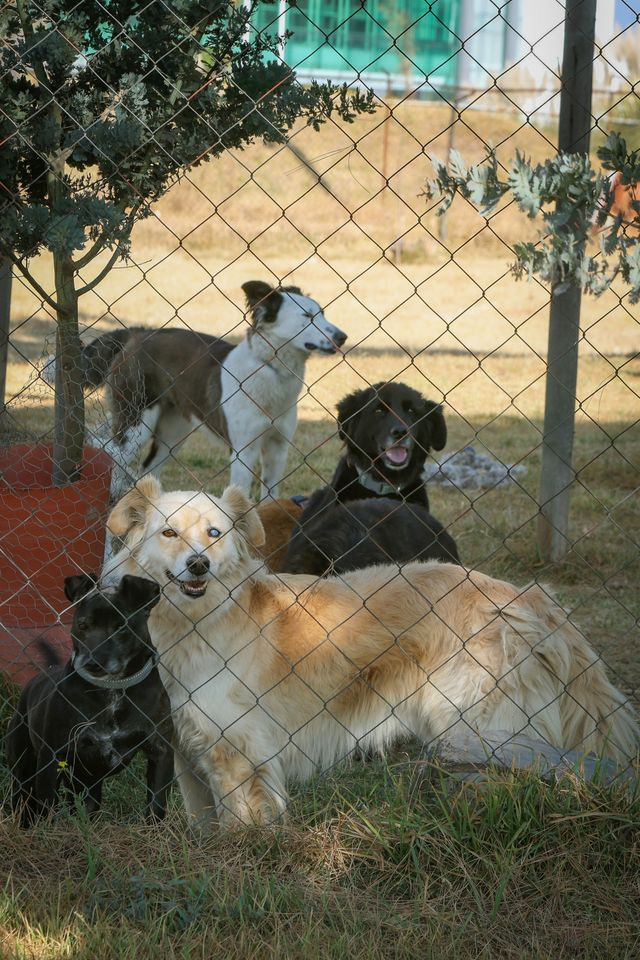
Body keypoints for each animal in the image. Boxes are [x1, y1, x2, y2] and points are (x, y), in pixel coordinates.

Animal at [6, 568, 175, 824]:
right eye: (83, 625)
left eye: (121, 627)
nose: (92, 662)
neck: (112, 688)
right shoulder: (52, 757)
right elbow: (46, 805)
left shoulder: (161, 751)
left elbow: (156, 804)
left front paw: (154, 829)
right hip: (24, 763)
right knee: (22, 797)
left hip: (87, 783)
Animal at [59, 282, 348, 498]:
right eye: (307, 317)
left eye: (322, 313)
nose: (343, 336)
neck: (272, 369)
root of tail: (137, 334)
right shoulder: (243, 452)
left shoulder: (278, 449)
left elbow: (269, 500)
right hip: (136, 422)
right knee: (112, 458)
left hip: (173, 433)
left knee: (146, 470)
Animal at [102, 480, 636, 832]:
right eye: (169, 534)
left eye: (215, 534)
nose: (199, 565)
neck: (198, 619)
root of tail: (526, 598)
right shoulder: (188, 754)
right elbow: (205, 826)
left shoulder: (239, 755)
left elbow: (244, 827)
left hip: (478, 734)